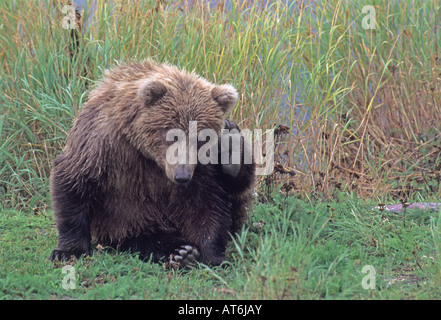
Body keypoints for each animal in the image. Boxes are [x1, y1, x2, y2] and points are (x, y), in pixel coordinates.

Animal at [49, 60, 254, 268]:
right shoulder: (103, 143)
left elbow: (208, 203)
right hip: (130, 224)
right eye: (172, 134)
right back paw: (178, 252)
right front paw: (68, 251)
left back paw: (232, 147)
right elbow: (75, 179)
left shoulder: (200, 167)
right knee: (145, 239)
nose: (182, 176)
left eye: (201, 138)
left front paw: (212, 255)